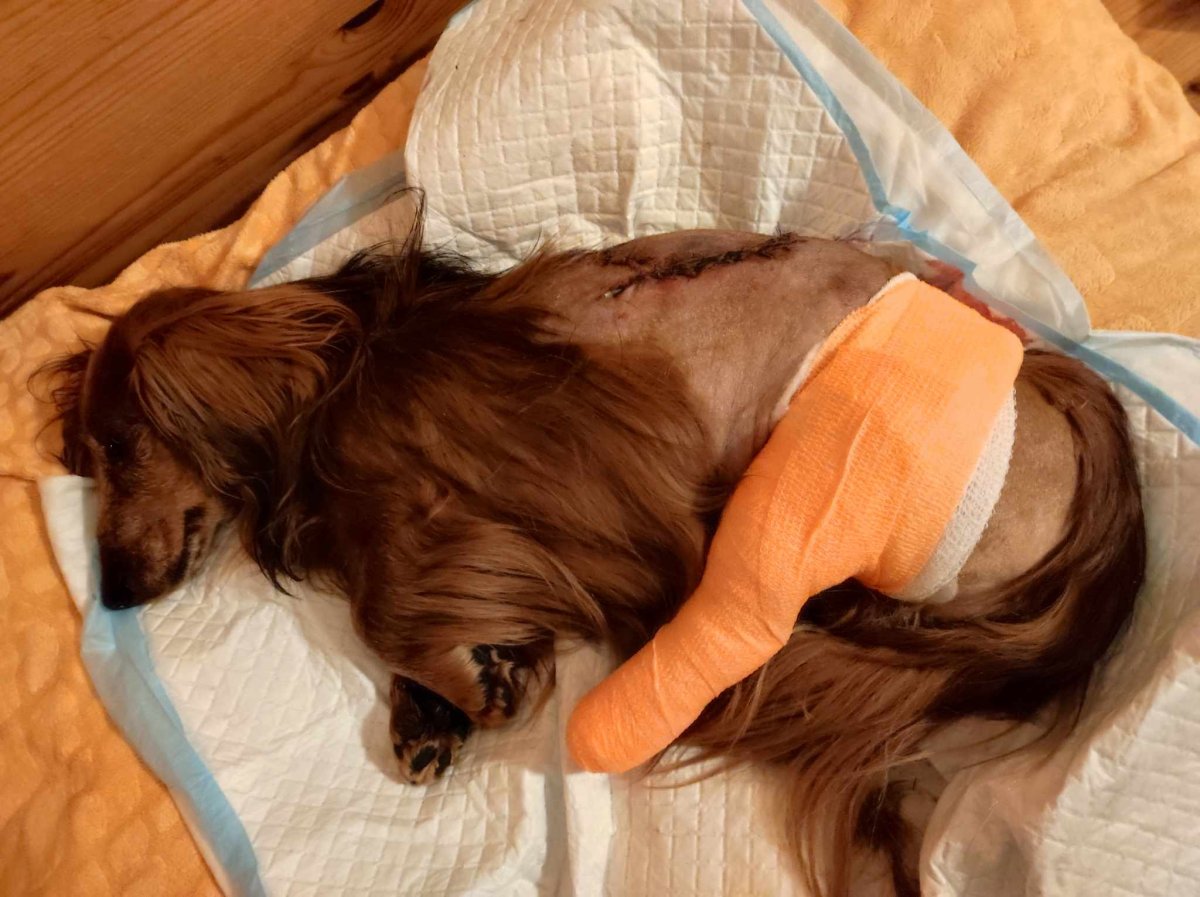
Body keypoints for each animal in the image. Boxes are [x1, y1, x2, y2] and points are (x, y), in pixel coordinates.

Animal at [44, 216, 1145, 897]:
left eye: (120, 447)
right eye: (90, 463)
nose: (115, 592)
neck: (344, 365)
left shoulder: (480, 485)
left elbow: (384, 608)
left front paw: (463, 683)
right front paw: (432, 708)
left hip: (848, 475)